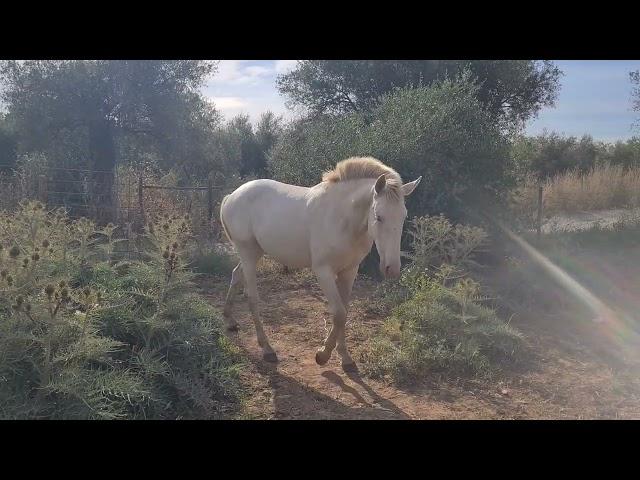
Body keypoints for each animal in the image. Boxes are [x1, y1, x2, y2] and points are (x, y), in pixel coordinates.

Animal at [220, 156, 420, 370]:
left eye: (403, 216)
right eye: (379, 216)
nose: (392, 269)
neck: (342, 219)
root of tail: (231, 196)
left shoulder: (349, 271)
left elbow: (344, 311)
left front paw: (345, 358)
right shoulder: (323, 271)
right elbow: (339, 313)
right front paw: (323, 355)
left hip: (254, 253)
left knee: (236, 275)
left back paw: (230, 320)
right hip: (248, 254)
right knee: (252, 298)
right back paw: (267, 349)